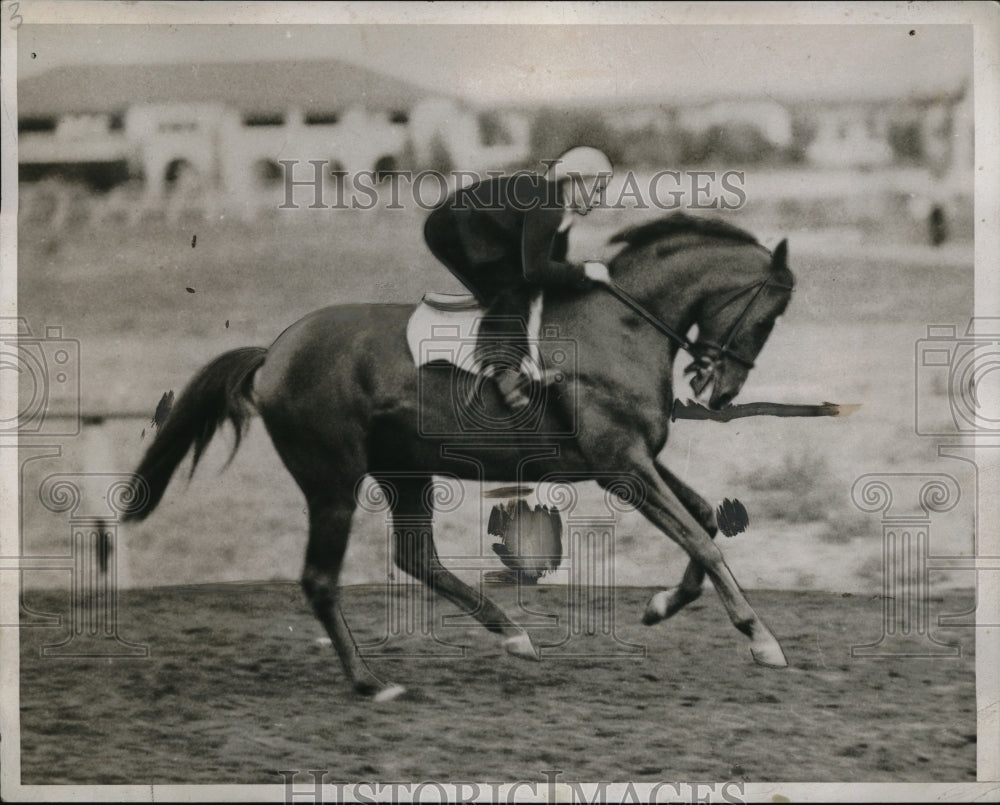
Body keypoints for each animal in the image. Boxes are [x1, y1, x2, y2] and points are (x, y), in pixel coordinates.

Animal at [123, 212, 796, 696]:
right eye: (770, 314)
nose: (720, 389)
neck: (622, 326)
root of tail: (274, 352)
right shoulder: (621, 465)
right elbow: (702, 539)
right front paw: (762, 639)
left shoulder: (632, 459)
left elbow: (703, 519)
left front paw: (661, 606)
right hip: (332, 480)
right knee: (322, 579)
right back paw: (370, 681)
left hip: (405, 470)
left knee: (416, 556)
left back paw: (513, 634)